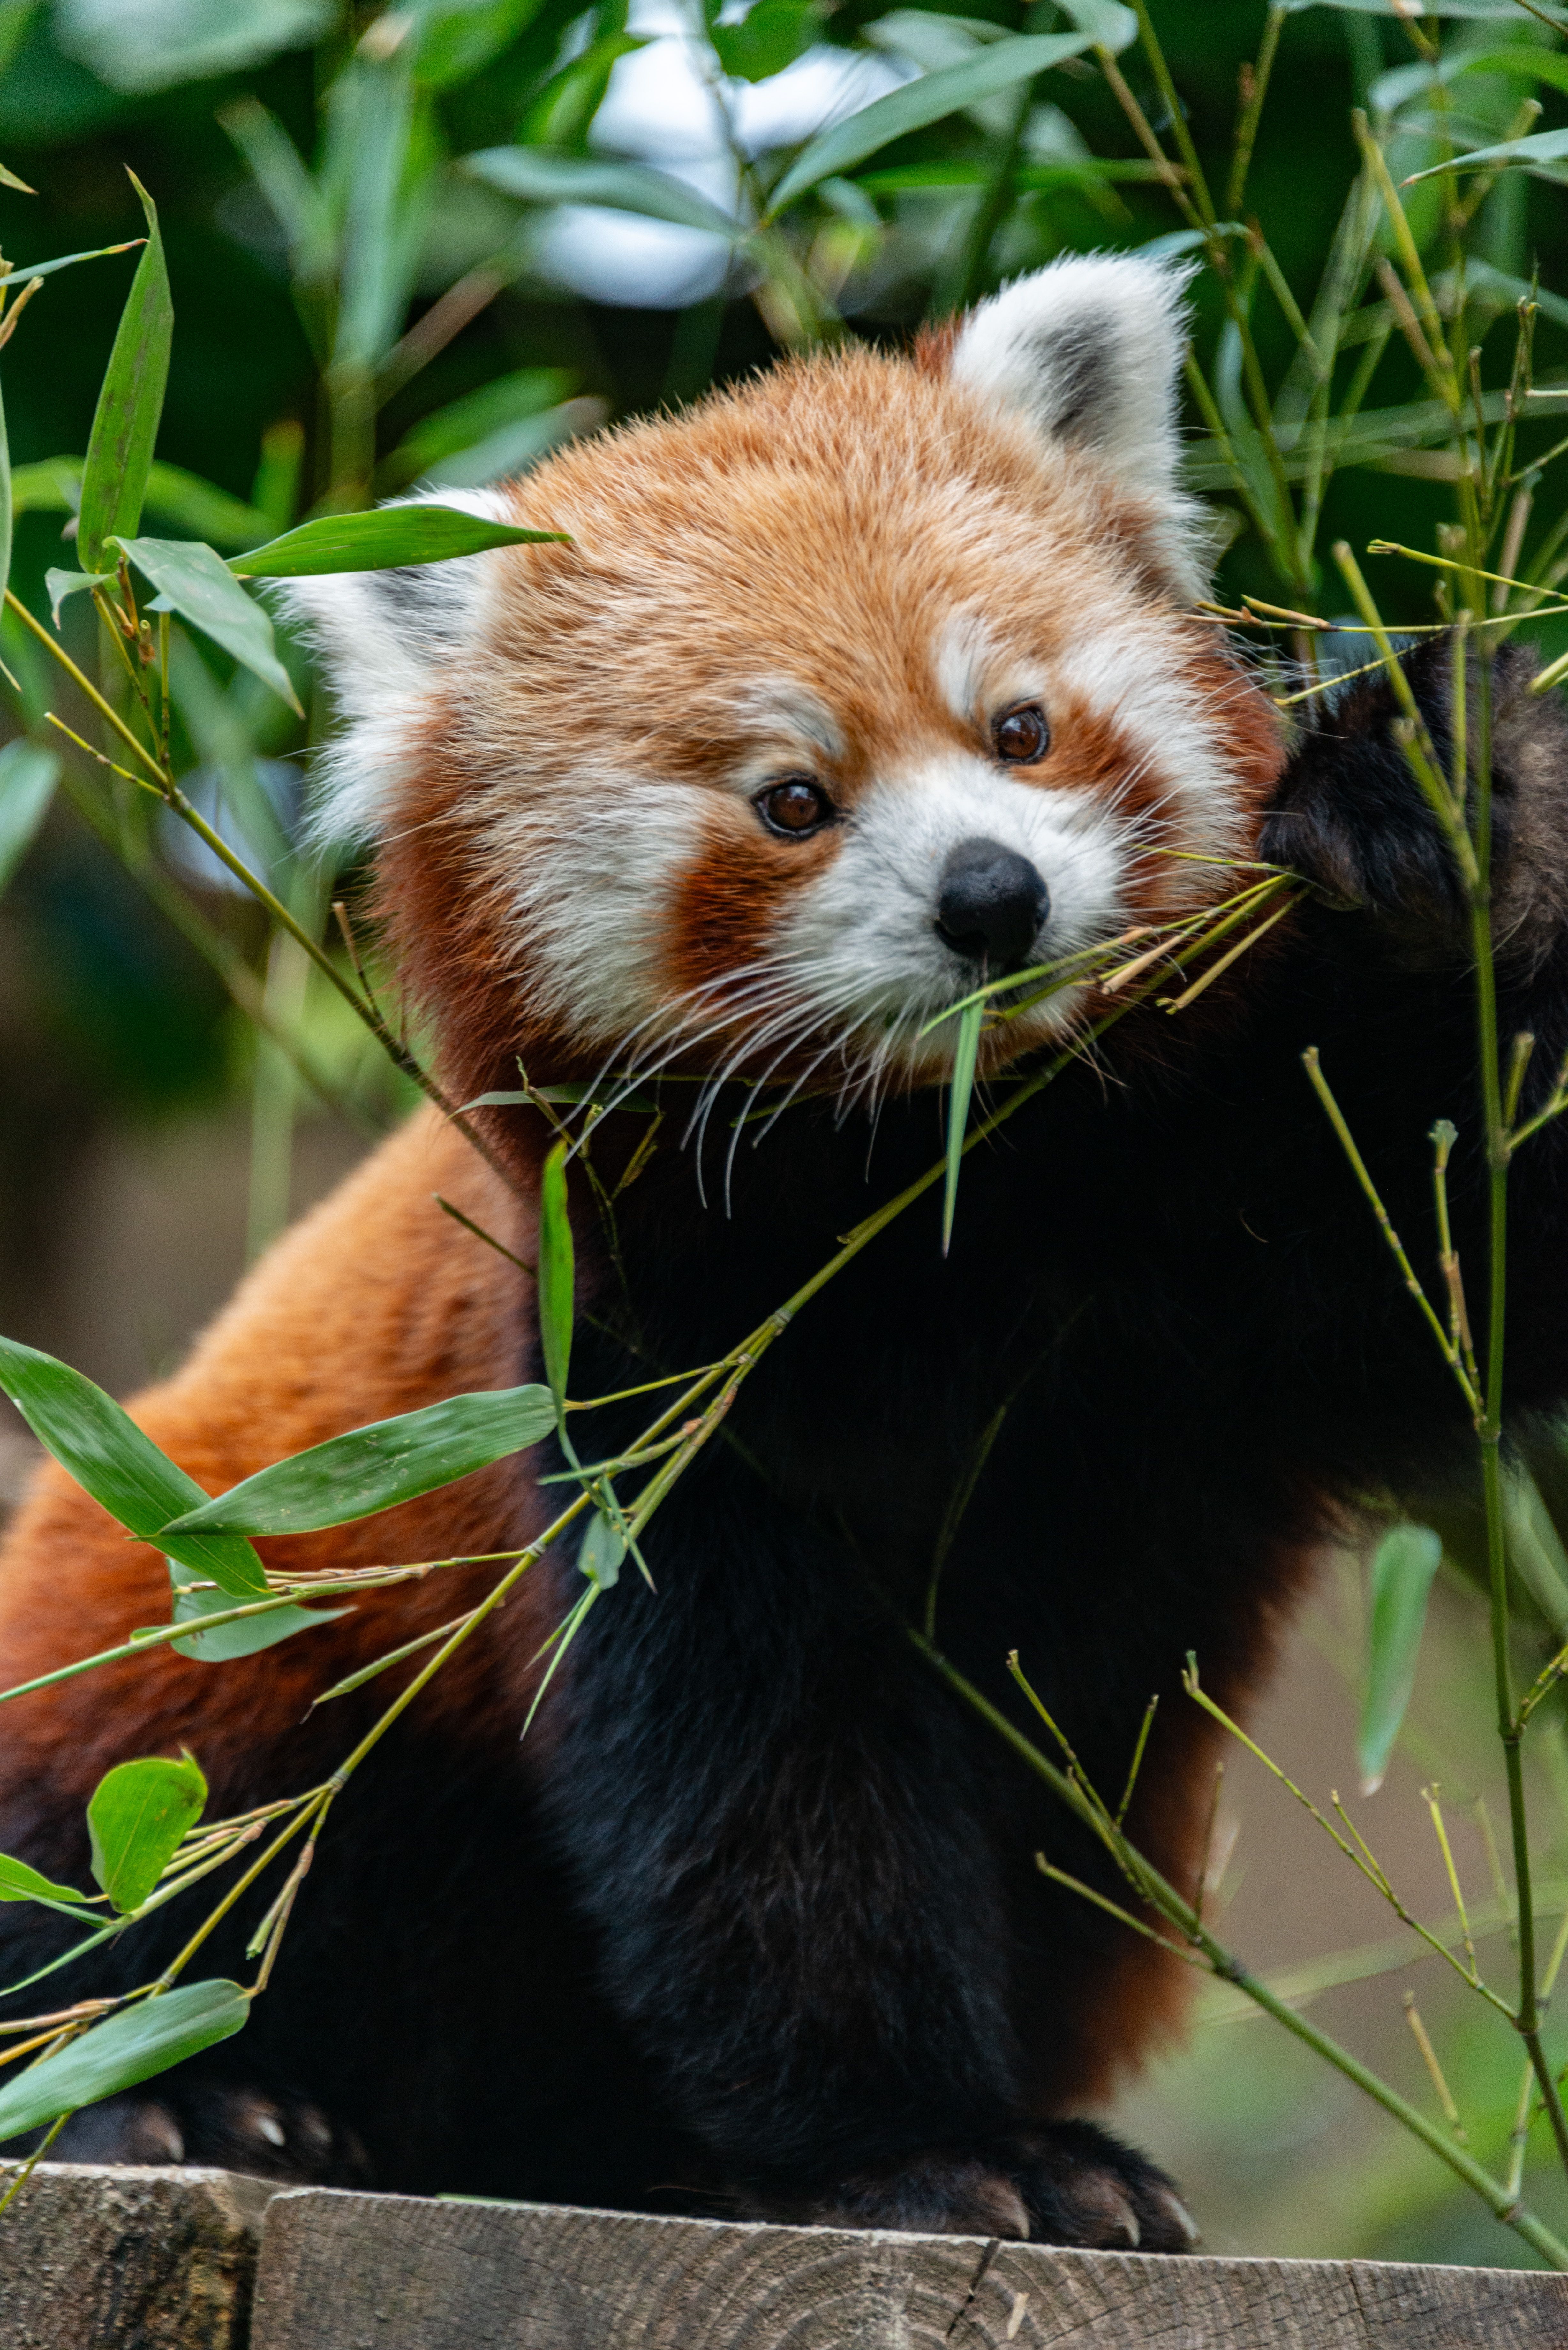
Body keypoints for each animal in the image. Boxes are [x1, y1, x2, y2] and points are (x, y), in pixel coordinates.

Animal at [1, 253, 1566, 2250]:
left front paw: (1446, 793)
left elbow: (1474, 1223)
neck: (992, 1179)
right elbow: (767, 1789)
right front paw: (934, 2145)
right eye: (790, 799)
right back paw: (177, 2092)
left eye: (1017, 727)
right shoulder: (651, 1366)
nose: (989, 897)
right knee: (119, 1857)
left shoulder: (1246, 1222)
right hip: (167, 1643)